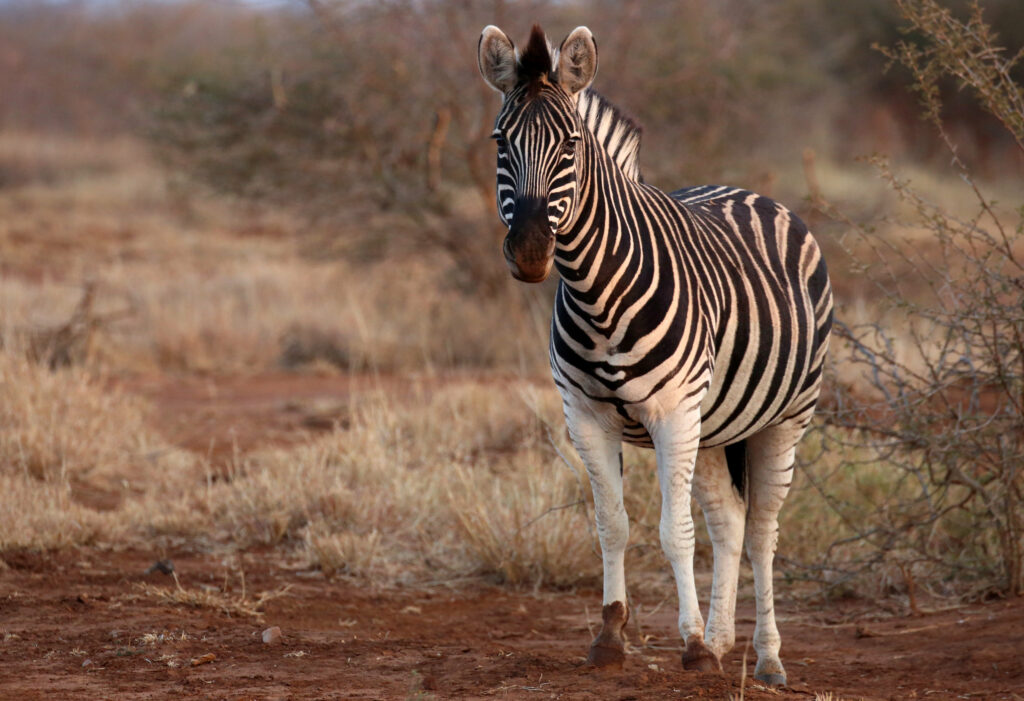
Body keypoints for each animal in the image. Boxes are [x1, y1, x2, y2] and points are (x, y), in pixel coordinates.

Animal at [477, 24, 833, 686]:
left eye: (570, 144)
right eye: (499, 141)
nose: (532, 252)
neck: (598, 292)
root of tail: (748, 191)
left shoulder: (672, 414)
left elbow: (675, 532)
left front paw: (690, 646)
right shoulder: (585, 417)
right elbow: (612, 525)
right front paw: (611, 639)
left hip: (785, 415)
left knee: (762, 529)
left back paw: (767, 658)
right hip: (716, 424)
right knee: (729, 521)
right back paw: (723, 642)